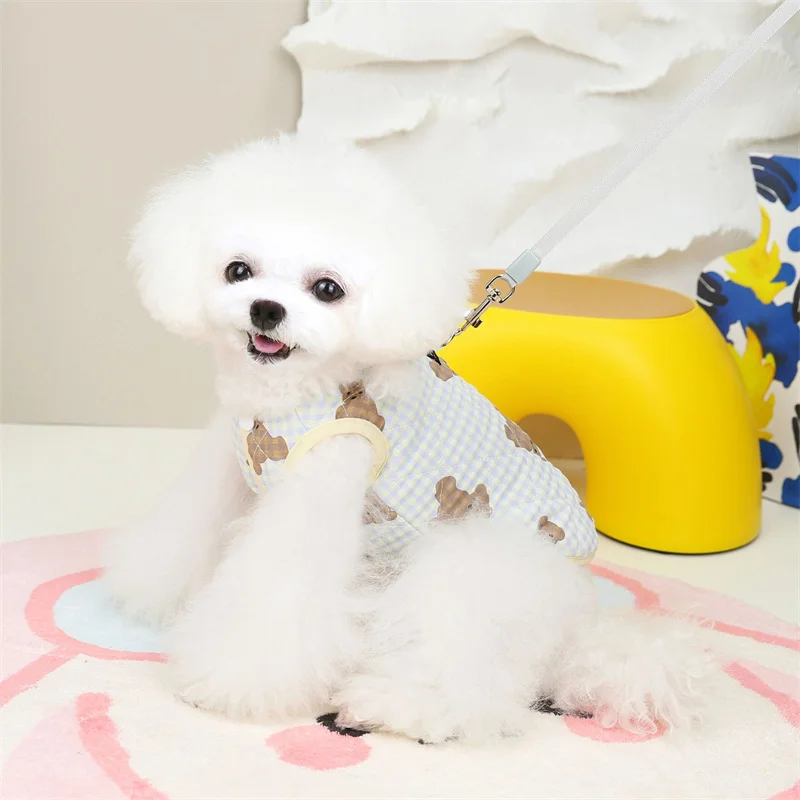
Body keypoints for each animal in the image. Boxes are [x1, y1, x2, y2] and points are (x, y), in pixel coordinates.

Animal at [104, 135, 712, 743]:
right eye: (238, 270)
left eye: (328, 289)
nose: (266, 309)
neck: (290, 395)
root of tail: (577, 624)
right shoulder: (230, 468)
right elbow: (185, 532)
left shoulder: (320, 490)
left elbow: (277, 595)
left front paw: (228, 680)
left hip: (473, 562)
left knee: (467, 671)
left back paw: (392, 705)